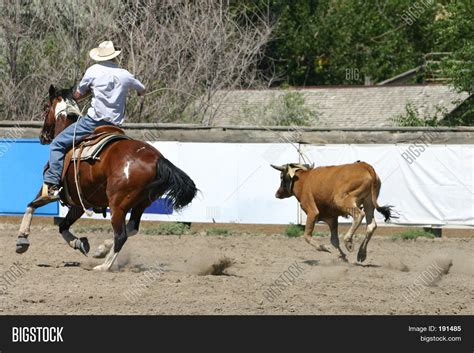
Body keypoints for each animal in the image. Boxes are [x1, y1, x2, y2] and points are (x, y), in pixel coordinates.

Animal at [14, 84, 196, 270]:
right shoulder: (79, 203)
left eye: (45, 108)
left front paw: (22, 240)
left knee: (121, 235)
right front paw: (80, 243)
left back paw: (103, 266)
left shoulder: (52, 191)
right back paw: (102, 249)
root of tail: (157, 159)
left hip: (118, 204)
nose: (42, 136)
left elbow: (31, 206)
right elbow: (62, 226)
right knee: (131, 228)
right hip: (142, 203)